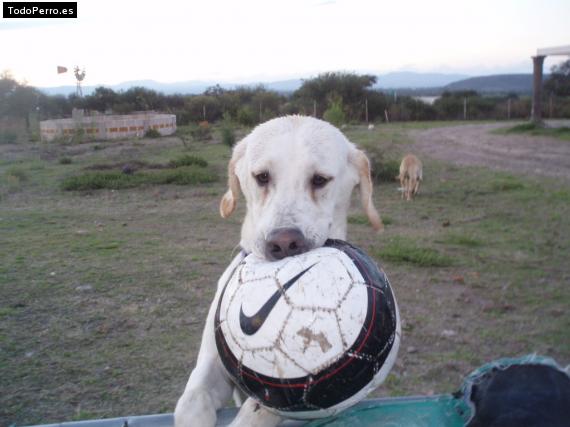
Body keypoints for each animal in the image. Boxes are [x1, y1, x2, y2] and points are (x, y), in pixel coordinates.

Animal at [174, 115, 382, 427]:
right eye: (262, 176)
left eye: (319, 180)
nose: (283, 243)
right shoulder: (212, 364)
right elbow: (188, 405)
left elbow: (259, 410)